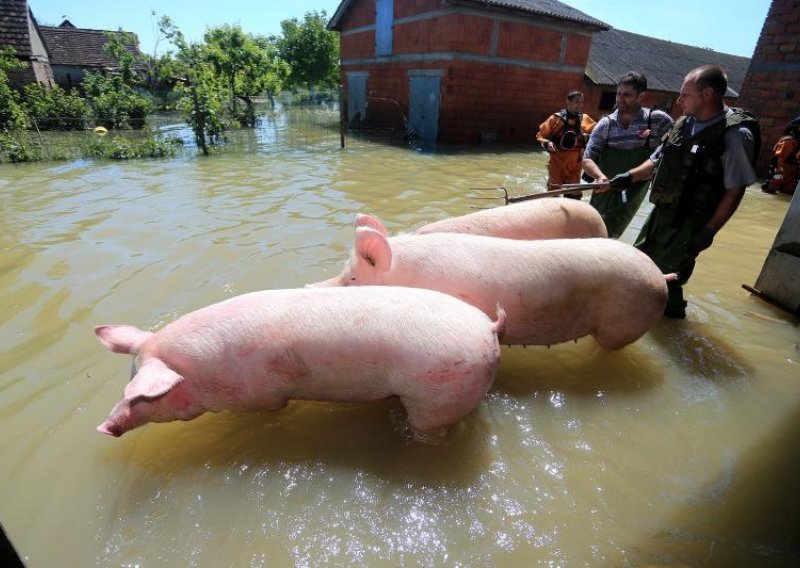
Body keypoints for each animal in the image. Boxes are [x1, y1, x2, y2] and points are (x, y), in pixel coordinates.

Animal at [95, 286, 506, 438]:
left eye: (141, 396)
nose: (105, 426)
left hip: (440, 393)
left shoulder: (260, 394)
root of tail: (487, 326)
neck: (205, 374)